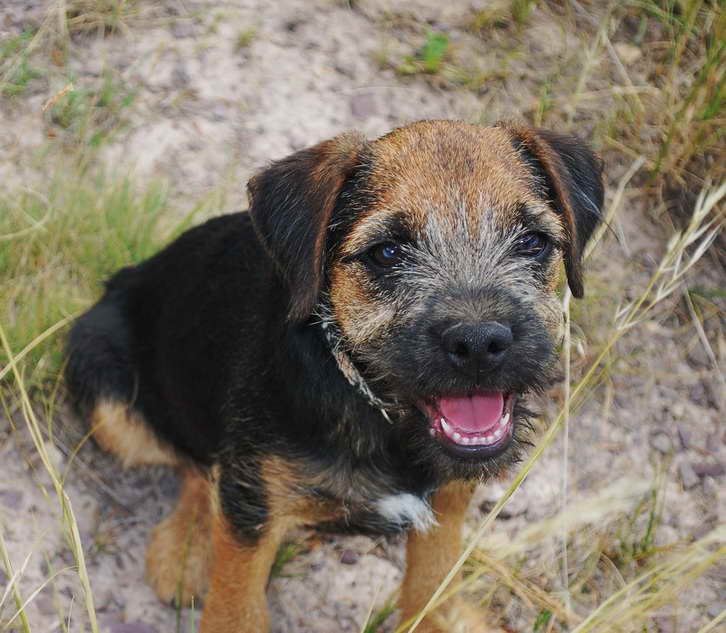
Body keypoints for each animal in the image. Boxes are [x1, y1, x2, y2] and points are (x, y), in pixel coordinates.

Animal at [67, 121, 604, 628]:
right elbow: (236, 609)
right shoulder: (252, 519)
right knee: (194, 464)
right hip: (107, 398)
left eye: (532, 242)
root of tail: (125, 275)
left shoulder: (448, 503)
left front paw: (446, 618)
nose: (479, 344)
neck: (380, 416)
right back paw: (186, 548)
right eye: (387, 253)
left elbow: (431, 587)